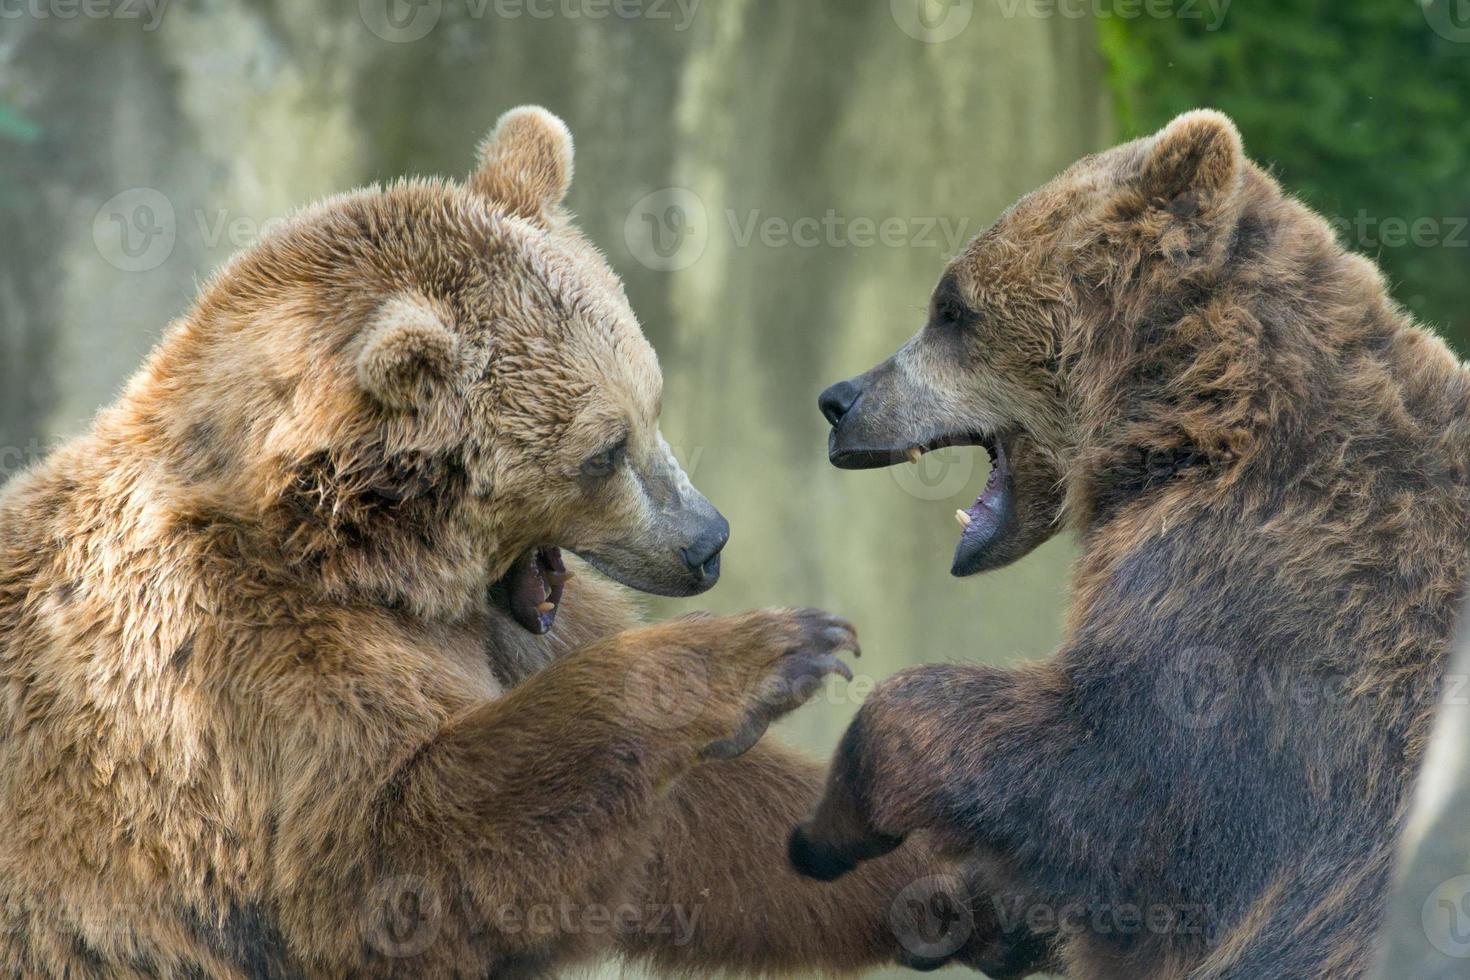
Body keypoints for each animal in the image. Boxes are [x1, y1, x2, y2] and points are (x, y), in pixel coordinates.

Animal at [2, 109, 987, 980]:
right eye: (602, 451)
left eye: (653, 401)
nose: (706, 541)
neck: (357, 558)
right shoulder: (239, 682)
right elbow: (393, 864)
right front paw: (778, 652)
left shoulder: (512, 628)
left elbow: (707, 828)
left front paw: (945, 873)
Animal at [799, 109, 1470, 980]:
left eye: (950, 308)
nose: (840, 400)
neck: (1189, 426)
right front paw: (958, 905)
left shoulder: (1273, 603)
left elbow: (1127, 783)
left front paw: (833, 823)